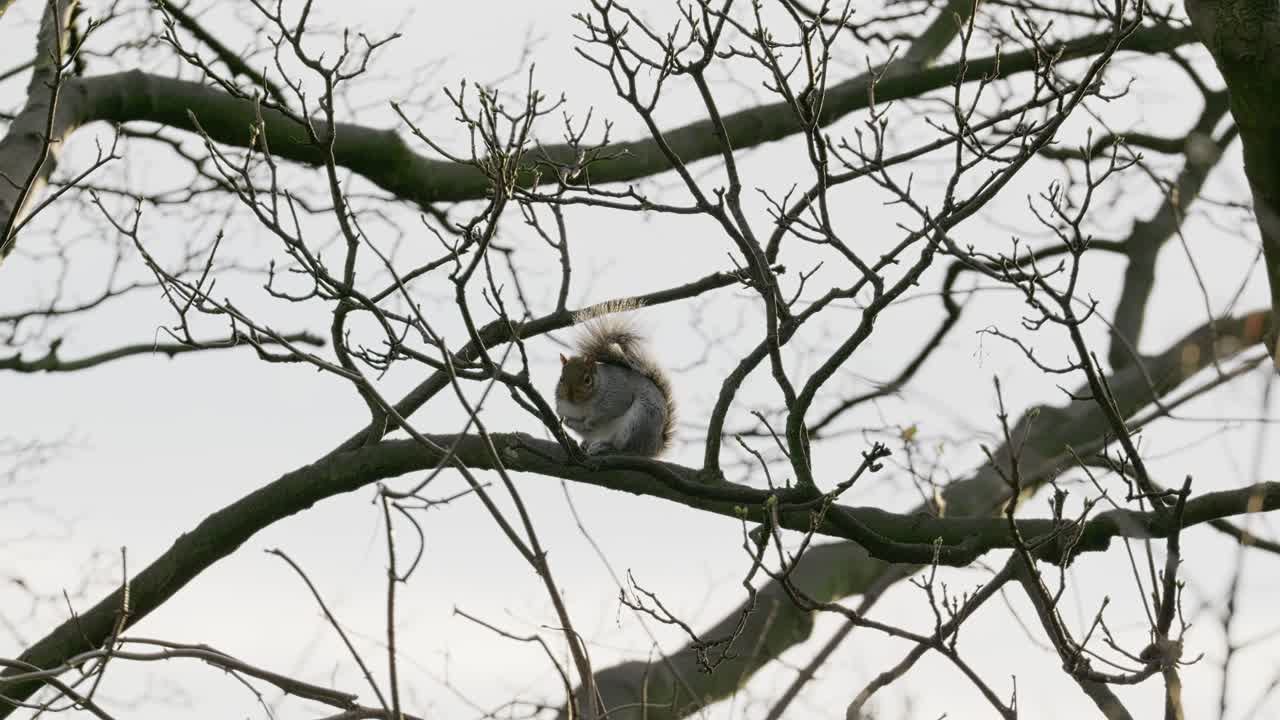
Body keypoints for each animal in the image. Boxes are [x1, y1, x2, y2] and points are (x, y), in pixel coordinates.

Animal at [555, 300, 676, 457]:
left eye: (587, 380)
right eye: (561, 379)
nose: (570, 396)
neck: (581, 405)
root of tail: (655, 447)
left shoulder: (617, 394)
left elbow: (608, 412)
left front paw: (590, 422)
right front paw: (568, 423)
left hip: (639, 422)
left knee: (625, 449)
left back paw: (604, 447)